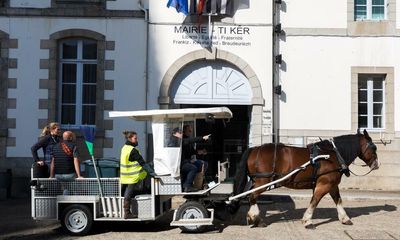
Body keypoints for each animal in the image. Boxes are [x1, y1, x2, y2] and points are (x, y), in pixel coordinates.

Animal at [231, 129, 378, 229]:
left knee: (251, 196)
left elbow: (338, 200)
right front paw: (307, 220)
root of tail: (254, 149)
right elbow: (315, 201)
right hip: (263, 182)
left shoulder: (332, 184)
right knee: (252, 196)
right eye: (374, 147)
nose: (377, 164)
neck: (333, 154)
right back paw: (256, 218)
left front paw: (344, 218)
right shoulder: (324, 184)